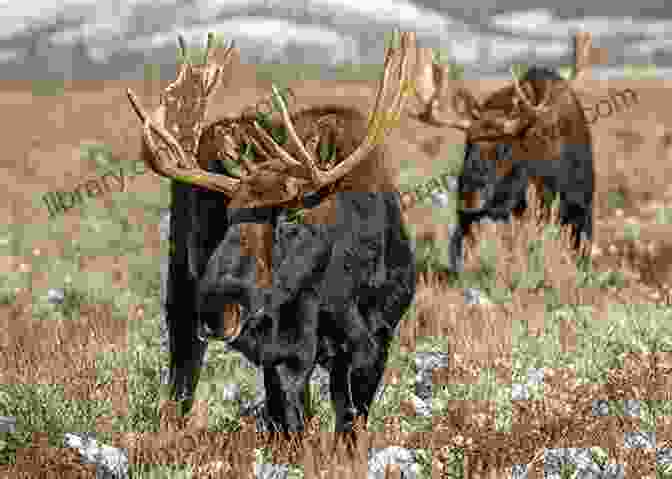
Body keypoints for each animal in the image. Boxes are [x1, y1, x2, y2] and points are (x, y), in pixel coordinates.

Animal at [126, 31, 418, 434]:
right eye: (227, 214)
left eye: (290, 215)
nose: (217, 308)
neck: (342, 288)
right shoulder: (287, 353)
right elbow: (293, 425)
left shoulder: (375, 342)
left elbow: (349, 426)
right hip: (182, 295)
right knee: (182, 380)